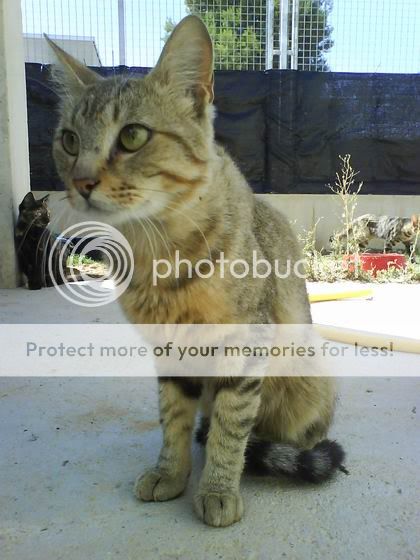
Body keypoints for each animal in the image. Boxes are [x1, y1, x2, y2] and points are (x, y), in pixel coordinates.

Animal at [48, 15, 344, 528]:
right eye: (68, 140)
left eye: (132, 136)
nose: (81, 182)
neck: (155, 250)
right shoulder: (170, 350)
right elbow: (173, 417)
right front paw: (171, 471)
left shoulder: (243, 344)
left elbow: (230, 422)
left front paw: (219, 487)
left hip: (307, 379)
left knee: (288, 434)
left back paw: (273, 452)